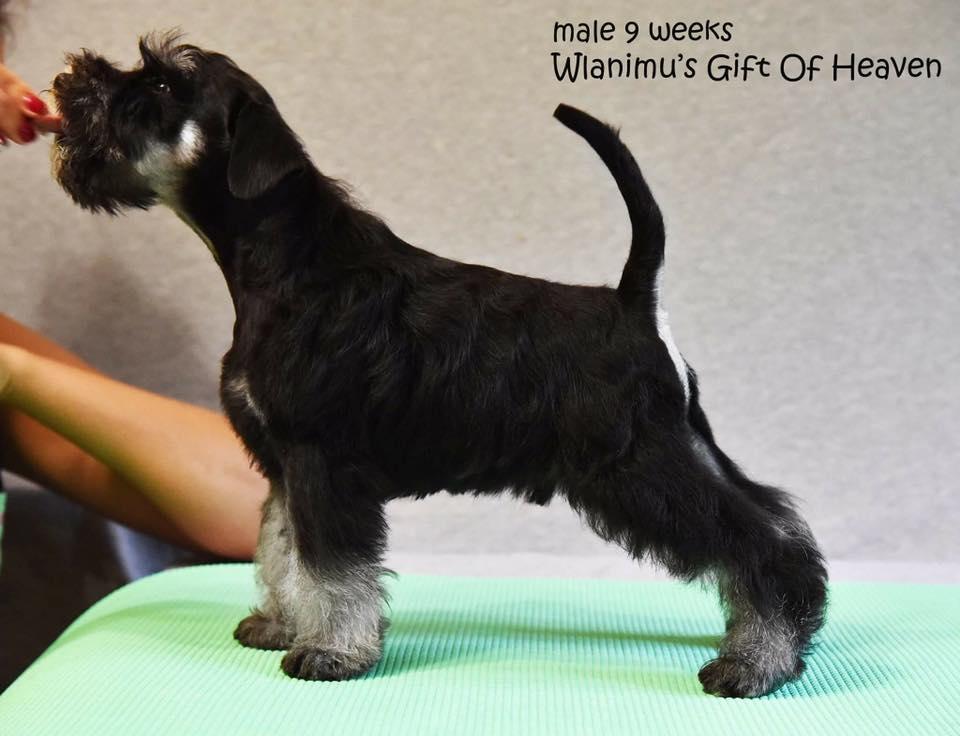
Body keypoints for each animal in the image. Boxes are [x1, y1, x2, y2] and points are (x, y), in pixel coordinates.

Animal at [51, 33, 827, 698]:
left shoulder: (321, 462)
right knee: (778, 521)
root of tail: (636, 302)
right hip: (679, 449)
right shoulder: (282, 468)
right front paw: (279, 623)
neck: (287, 261)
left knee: (761, 545)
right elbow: (280, 548)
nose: (68, 80)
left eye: (161, 83)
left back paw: (756, 660)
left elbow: (329, 565)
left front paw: (329, 651)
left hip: (639, 468)